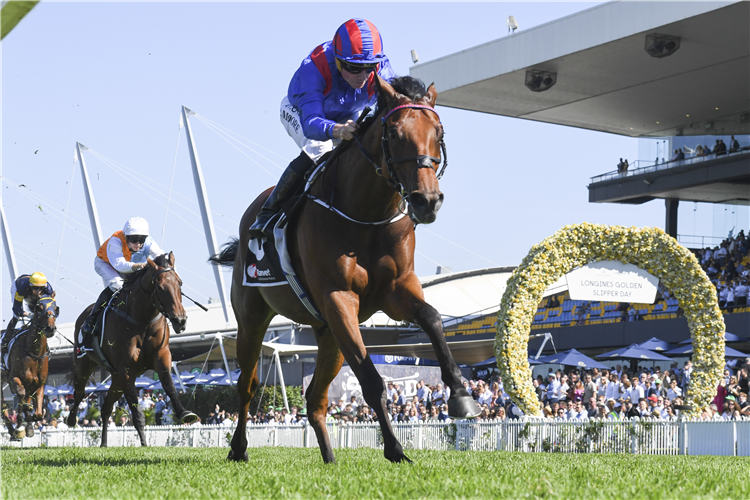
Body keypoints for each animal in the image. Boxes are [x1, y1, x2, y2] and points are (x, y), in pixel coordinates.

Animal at [0, 294, 58, 440]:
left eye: (56, 308)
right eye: (39, 308)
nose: (50, 328)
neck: (34, 353)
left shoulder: (39, 384)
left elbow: (37, 412)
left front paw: (30, 424)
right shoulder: (14, 379)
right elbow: (22, 397)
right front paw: (20, 427)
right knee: (3, 405)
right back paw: (13, 429)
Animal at [68, 252, 197, 448]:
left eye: (180, 283)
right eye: (160, 287)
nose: (180, 320)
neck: (142, 320)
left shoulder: (161, 356)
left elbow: (169, 385)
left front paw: (185, 413)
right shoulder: (127, 370)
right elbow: (137, 412)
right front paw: (144, 444)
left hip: (116, 378)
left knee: (106, 407)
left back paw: (103, 443)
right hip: (85, 364)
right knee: (79, 392)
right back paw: (71, 419)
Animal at [212, 76, 482, 462]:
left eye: (439, 131)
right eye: (394, 133)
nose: (426, 201)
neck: (366, 214)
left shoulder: (397, 290)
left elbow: (431, 317)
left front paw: (461, 396)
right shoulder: (339, 298)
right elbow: (370, 380)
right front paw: (395, 450)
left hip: (329, 335)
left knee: (314, 398)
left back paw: (329, 458)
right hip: (253, 317)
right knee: (247, 385)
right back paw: (238, 449)